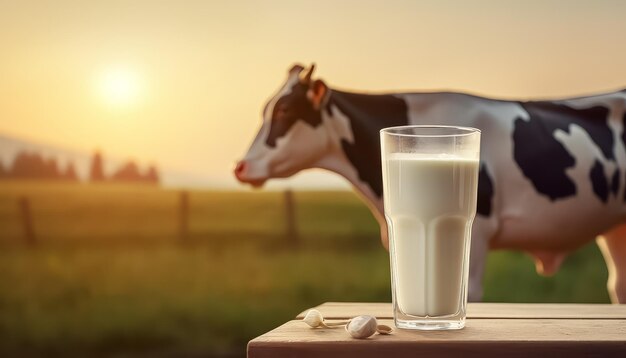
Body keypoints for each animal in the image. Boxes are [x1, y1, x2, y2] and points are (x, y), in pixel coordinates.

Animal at [233, 63, 624, 304]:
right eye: (265, 109)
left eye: (284, 111)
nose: (240, 166)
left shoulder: (478, 234)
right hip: (614, 229)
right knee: (618, 286)